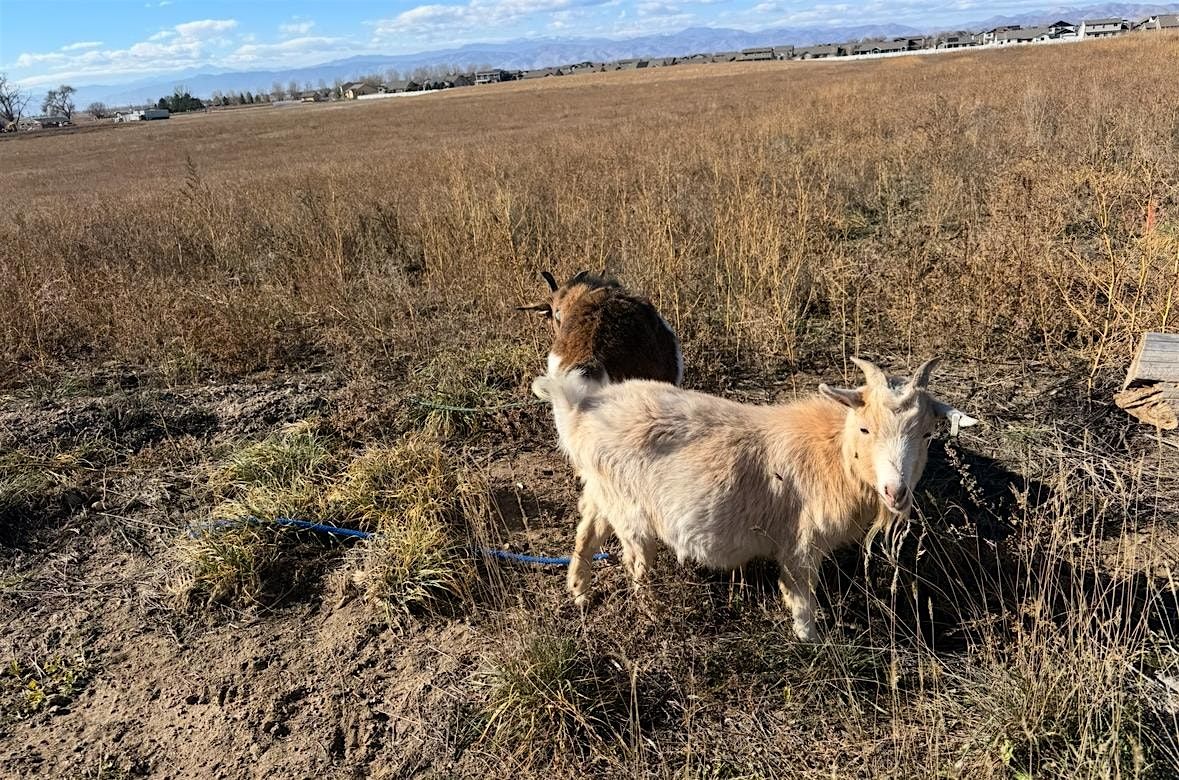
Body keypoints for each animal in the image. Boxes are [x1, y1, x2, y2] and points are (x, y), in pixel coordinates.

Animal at [531, 357, 978, 641]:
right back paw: (652, 612)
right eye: (865, 429)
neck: (833, 450)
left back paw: (580, 591)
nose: (895, 491)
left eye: (926, 433)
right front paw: (810, 638)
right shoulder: (801, 542)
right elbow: (799, 593)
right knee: (636, 565)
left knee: (586, 530)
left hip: (601, 491)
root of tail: (583, 407)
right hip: (630, 511)